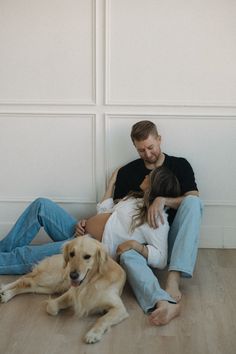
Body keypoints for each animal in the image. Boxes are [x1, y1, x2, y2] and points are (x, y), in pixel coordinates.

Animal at [0, 235, 129, 342]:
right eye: (72, 254)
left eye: (87, 256)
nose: (73, 275)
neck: (91, 281)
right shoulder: (71, 293)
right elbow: (51, 307)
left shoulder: (119, 308)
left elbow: (102, 319)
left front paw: (93, 334)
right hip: (50, 277)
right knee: (23, 279)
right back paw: (4, 290)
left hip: (50, 287)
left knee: (28, 284)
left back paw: (6, 295)